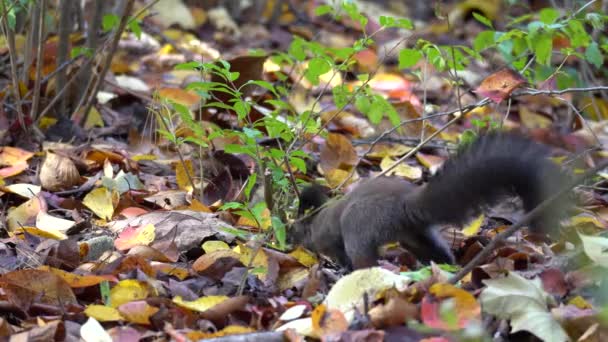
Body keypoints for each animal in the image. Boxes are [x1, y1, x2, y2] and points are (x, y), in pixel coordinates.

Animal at [288, 132, 568, 268]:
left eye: (295, 231)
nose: (290, 242)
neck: (316, 222)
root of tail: (405, 205)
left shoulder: (328, 240)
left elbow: (338, 253)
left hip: (361, 227)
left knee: (364, 259)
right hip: (415, 235)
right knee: (437, 251)